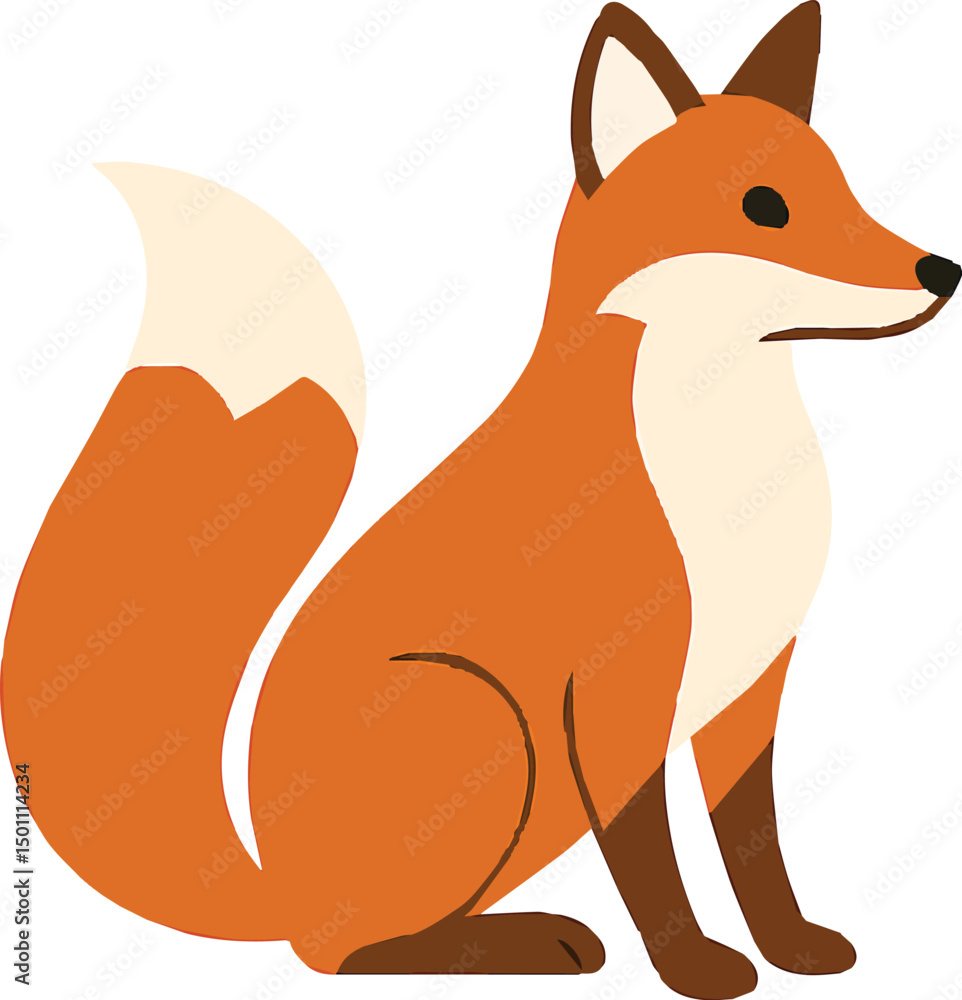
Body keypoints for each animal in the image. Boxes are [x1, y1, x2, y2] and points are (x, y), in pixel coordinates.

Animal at [2, 3, 958, 999]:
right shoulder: (615, 693)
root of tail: (278, 880)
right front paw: (695, 966)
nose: (943, 271)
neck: (724, 466)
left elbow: (755, 846)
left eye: (846, 190)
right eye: (763, 206)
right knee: (339, 954)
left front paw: (793, 948)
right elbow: (652, 860)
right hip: (489, 723)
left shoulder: (752, 685)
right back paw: (522, 946)